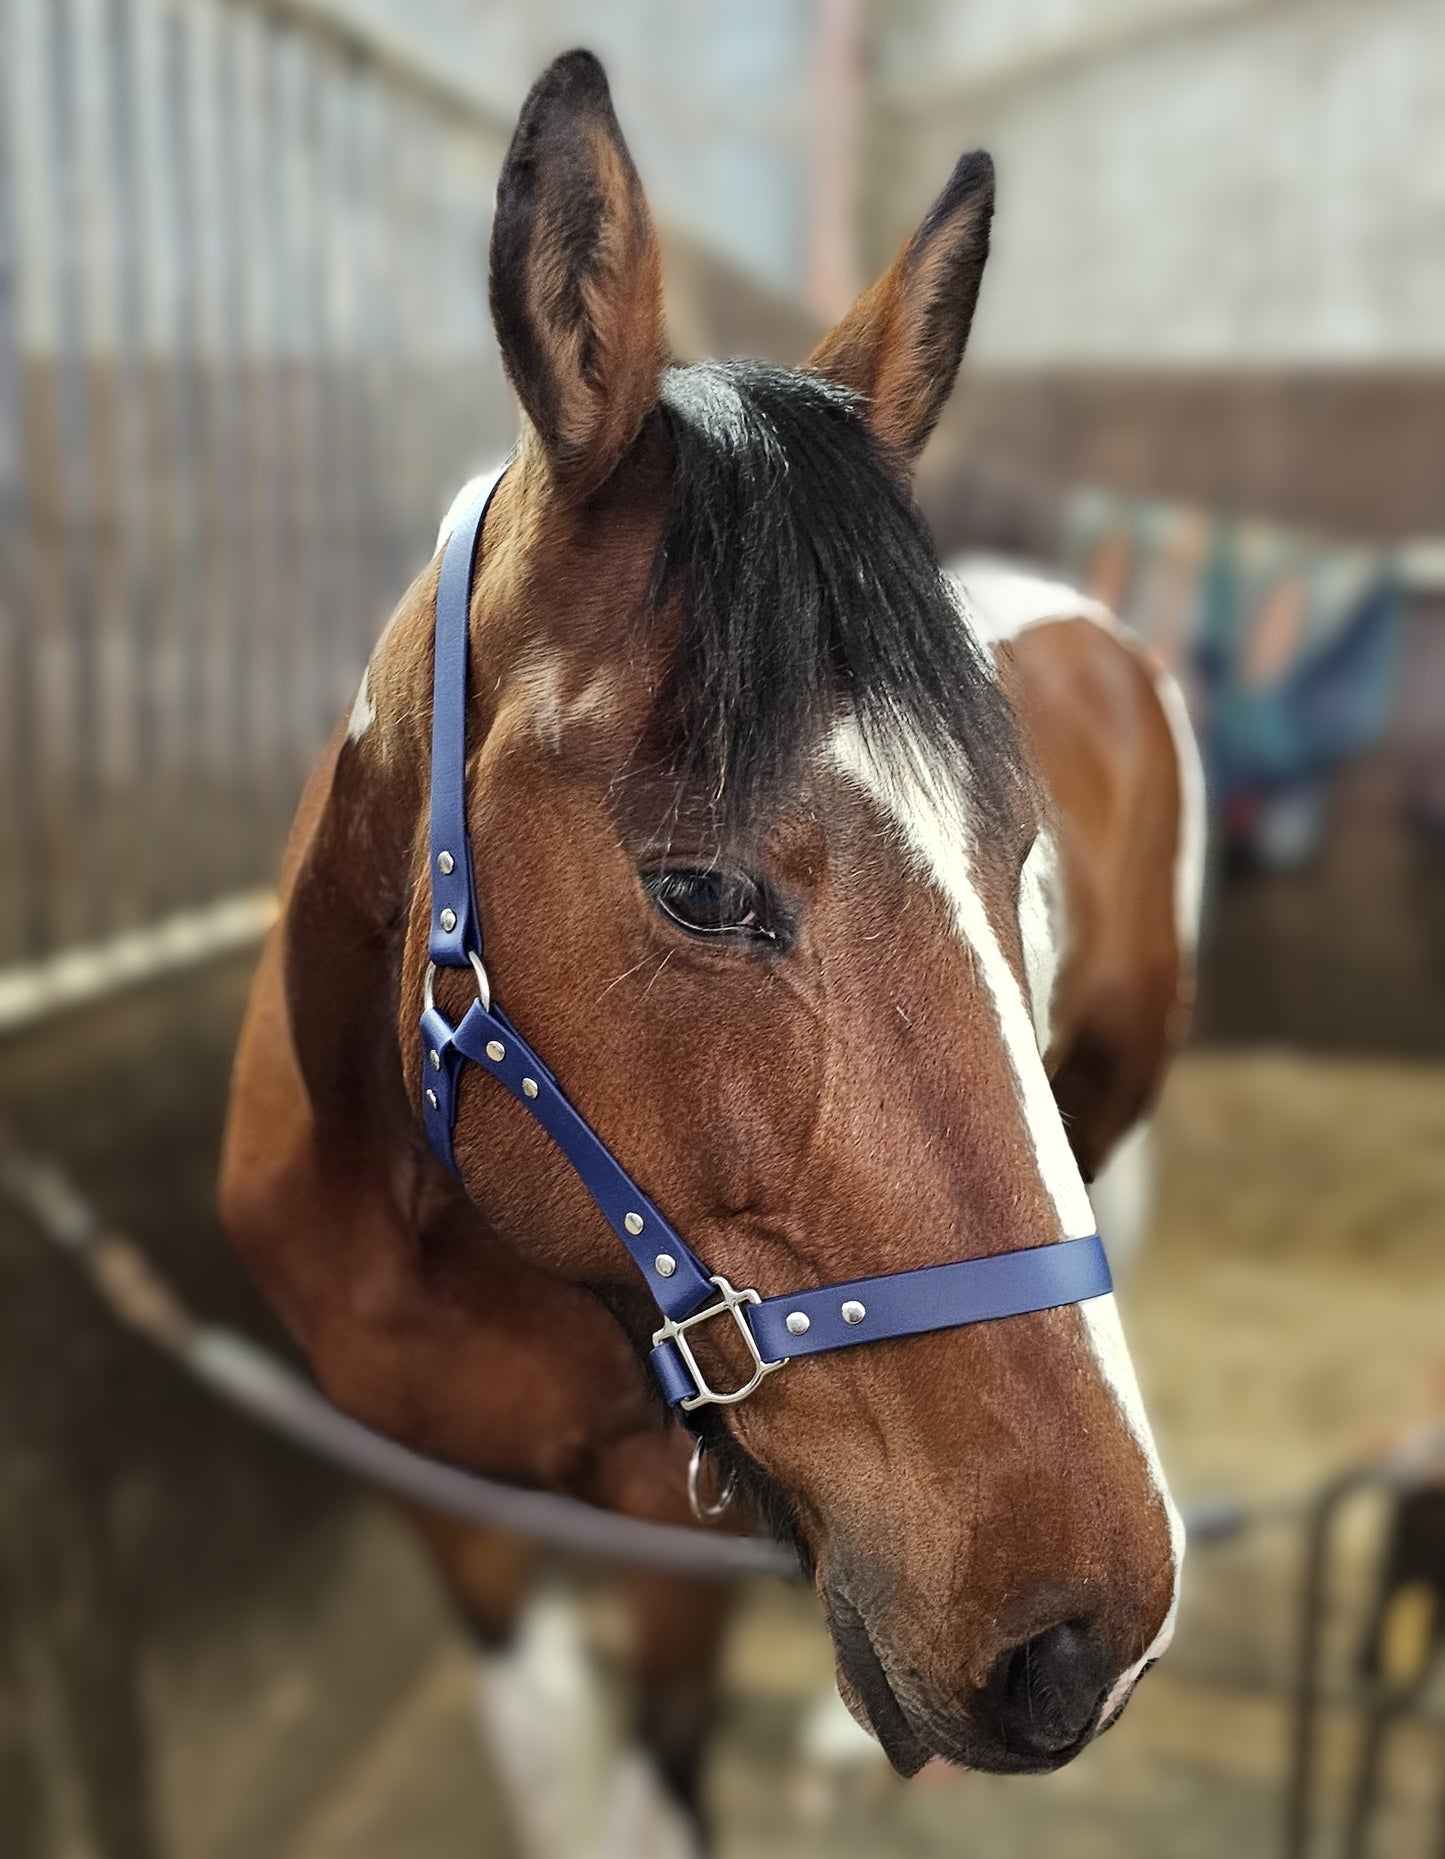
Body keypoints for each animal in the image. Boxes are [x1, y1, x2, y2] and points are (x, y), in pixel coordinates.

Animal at [220, 48, 1198, 1855]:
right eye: (695, 890)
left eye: (1013, 857)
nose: (1087, 1631)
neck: (439, 1223)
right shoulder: (445, 1505)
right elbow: (550, 1764)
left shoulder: (659, 1533)